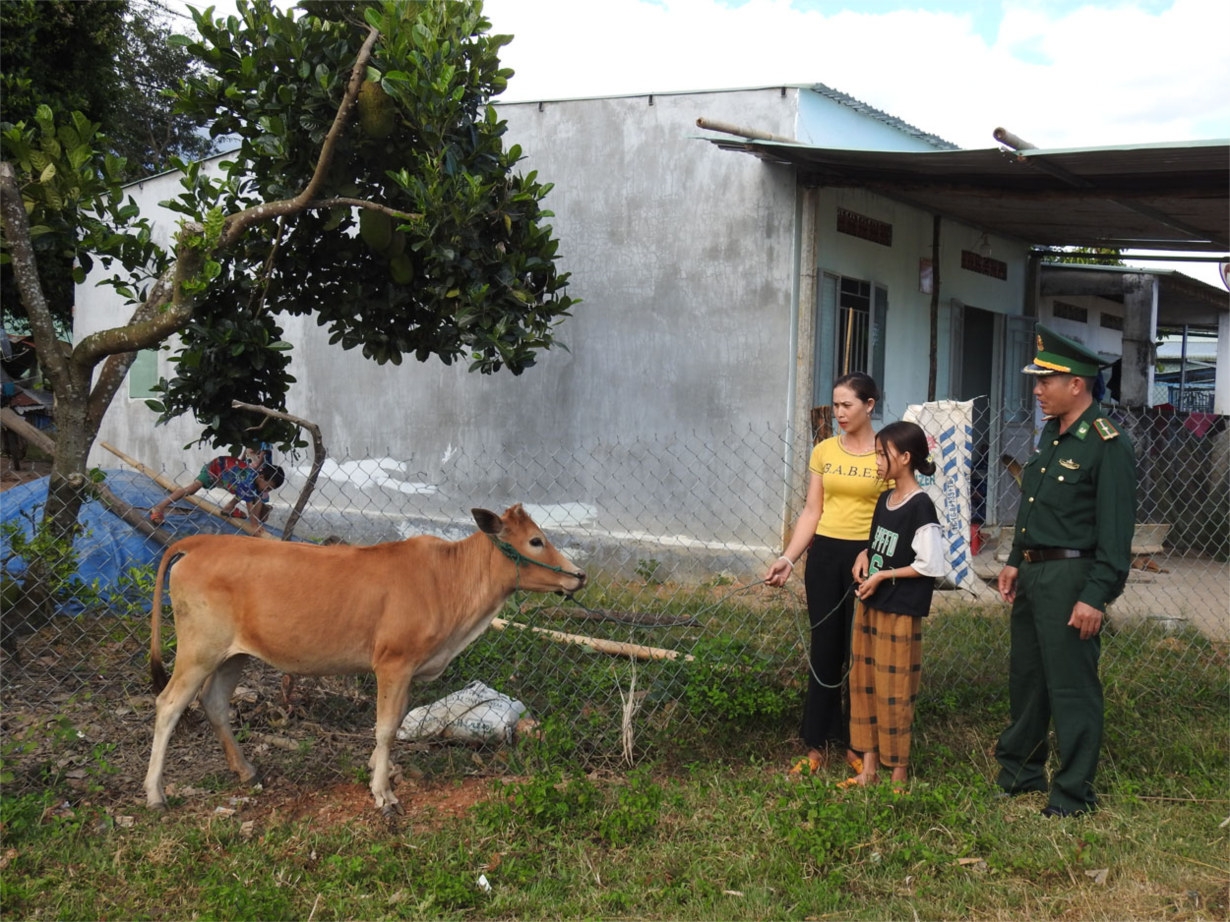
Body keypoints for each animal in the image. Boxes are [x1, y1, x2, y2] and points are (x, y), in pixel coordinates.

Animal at [143, 506, 585, 816]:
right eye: (535, 541)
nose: (578, 575)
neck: (448, 580)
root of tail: (202, 542)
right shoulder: (393, 663)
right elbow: (387, 727)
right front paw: (383, 794)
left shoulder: (407, 669)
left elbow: (396, 720)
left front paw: (380, 771)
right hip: (199, 649)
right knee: (169, 704)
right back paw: (155, 794)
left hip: (232, 655)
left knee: (214, 702)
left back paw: (247, 771)